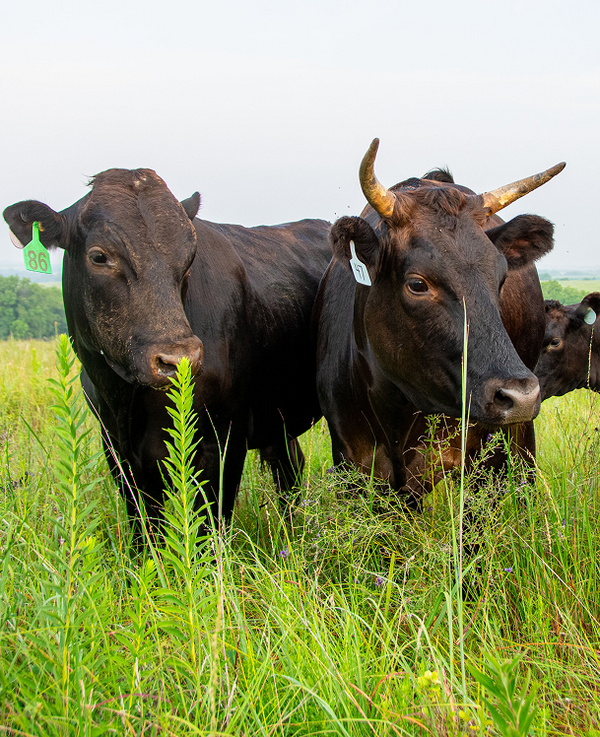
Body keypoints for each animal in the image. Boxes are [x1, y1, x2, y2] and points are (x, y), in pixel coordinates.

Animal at [4, 168, 332, 540]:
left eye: (188, 259)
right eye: (99, 256)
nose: (180, 360)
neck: (125, 399)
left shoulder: (224, 440)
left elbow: (208, 529)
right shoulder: (118, 449)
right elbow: (144, 531)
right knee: (289, 468)